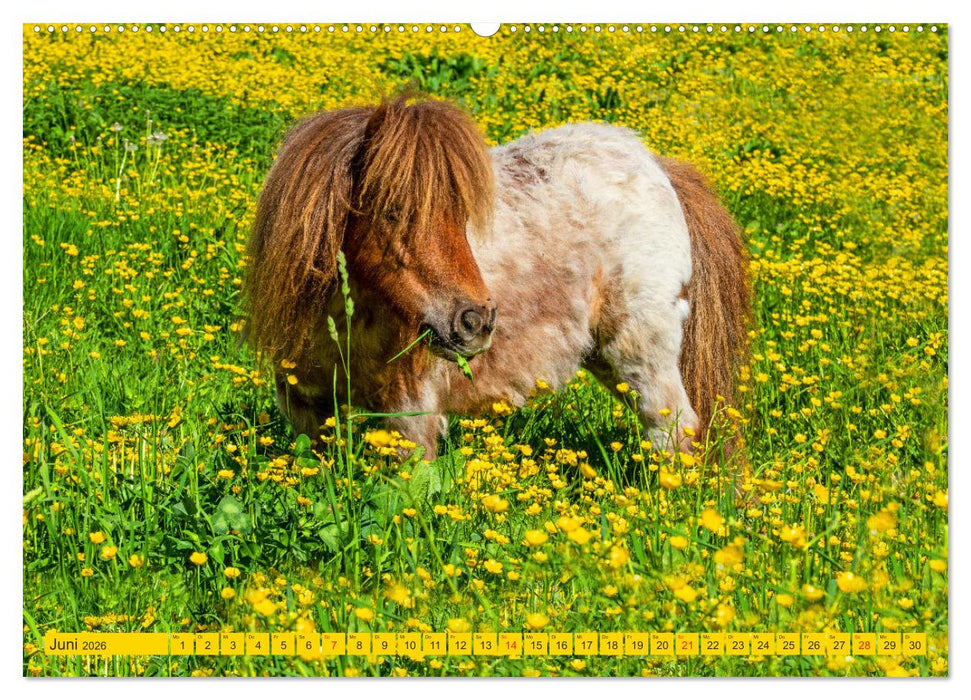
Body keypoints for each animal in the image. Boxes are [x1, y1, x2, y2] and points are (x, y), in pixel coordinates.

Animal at [244, 96, 749, 459]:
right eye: (392, 212)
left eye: (461, 215)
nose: (475, 322)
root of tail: (657, 165)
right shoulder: (308, 411)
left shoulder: (411, 416)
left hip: (641, 355)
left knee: (676, 433)